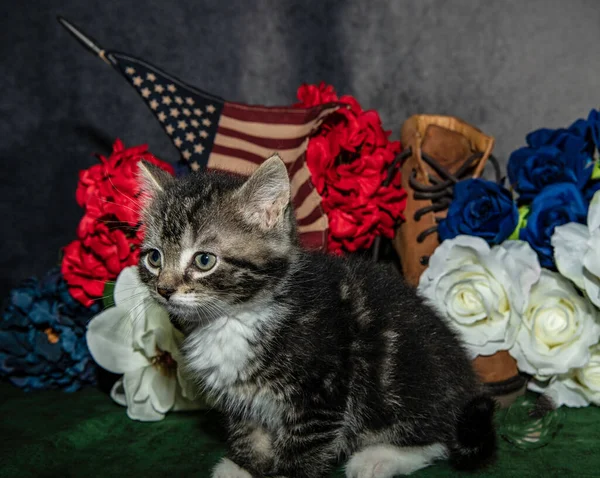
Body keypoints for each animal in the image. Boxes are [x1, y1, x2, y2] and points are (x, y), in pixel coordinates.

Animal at [137, 155, 496, 478]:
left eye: (204, 260)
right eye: (154, 258)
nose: (164, 289)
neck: (234, 318)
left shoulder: (321, 393)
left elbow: (304, 451)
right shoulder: (240, 398)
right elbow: (249, 434)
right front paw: (245, 468)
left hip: (404, 384)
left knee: (440, 436)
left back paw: (379, 459)